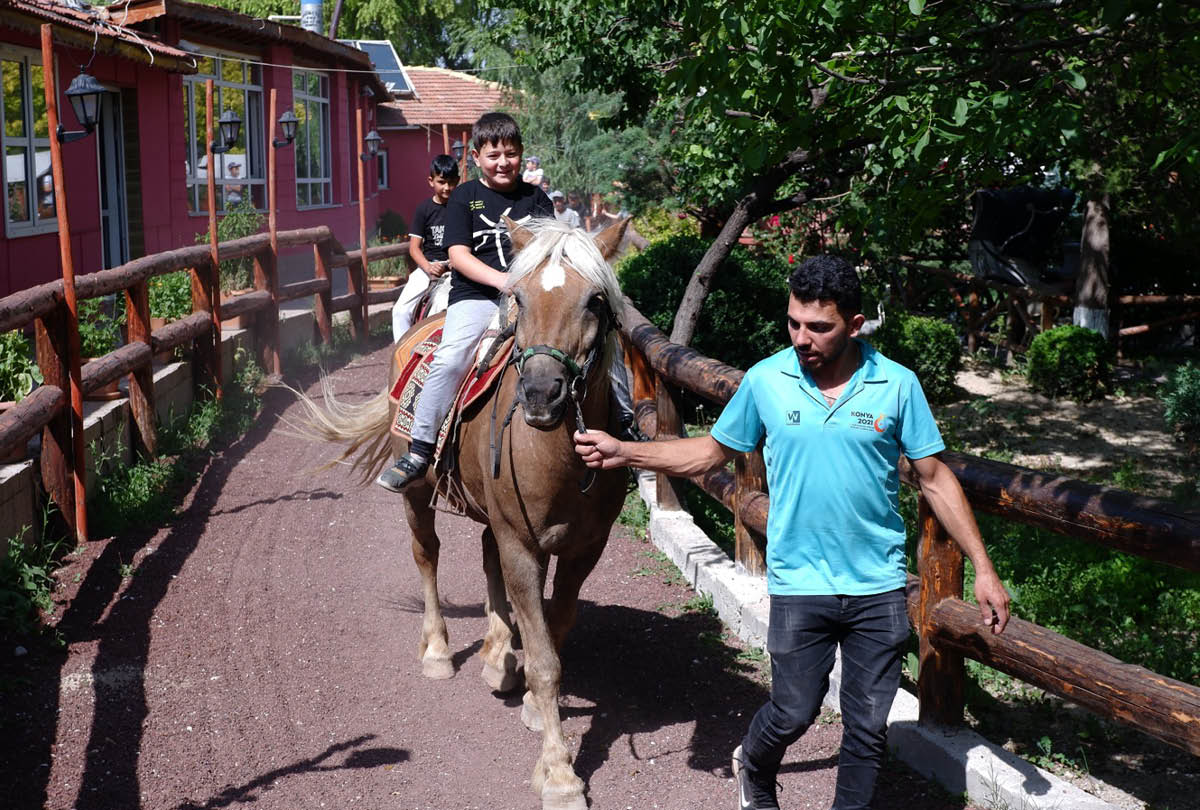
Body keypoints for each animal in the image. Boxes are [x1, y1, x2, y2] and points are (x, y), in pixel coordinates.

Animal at [289, 217, 628, 810]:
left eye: (594, 300)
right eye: (519, 297)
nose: (541, 393)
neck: (559, 455)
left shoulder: (585, 548)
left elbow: (555, 630)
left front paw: (529, 700)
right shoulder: (522, 543)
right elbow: (545, 661)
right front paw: (559, 775)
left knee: (488, 563)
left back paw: (497, 655)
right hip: (417, 496)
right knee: (428, 557)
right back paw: (440, 651)